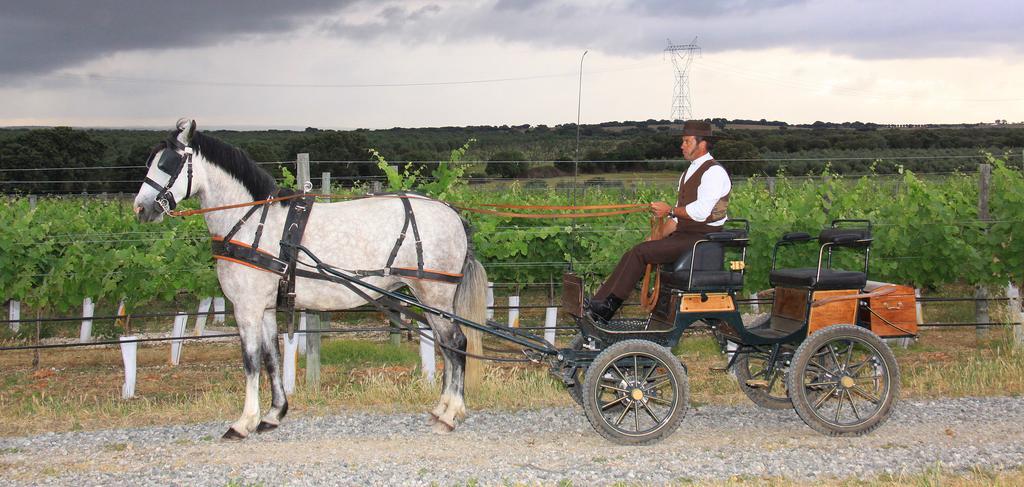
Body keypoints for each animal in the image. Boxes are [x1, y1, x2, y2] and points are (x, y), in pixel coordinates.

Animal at [133, 119, 487, 439]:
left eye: (167, 163)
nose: (141, 209)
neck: (251, 220)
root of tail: (453, 214)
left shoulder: (246, 307)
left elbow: (250, 362)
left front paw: (243, 422)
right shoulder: (265, 308)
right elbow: (271, 357)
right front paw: (274, 414)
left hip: (434, 294)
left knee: (456, 344)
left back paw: (451, 414)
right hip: (430, 299)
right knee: (446, 346)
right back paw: (442, 409)